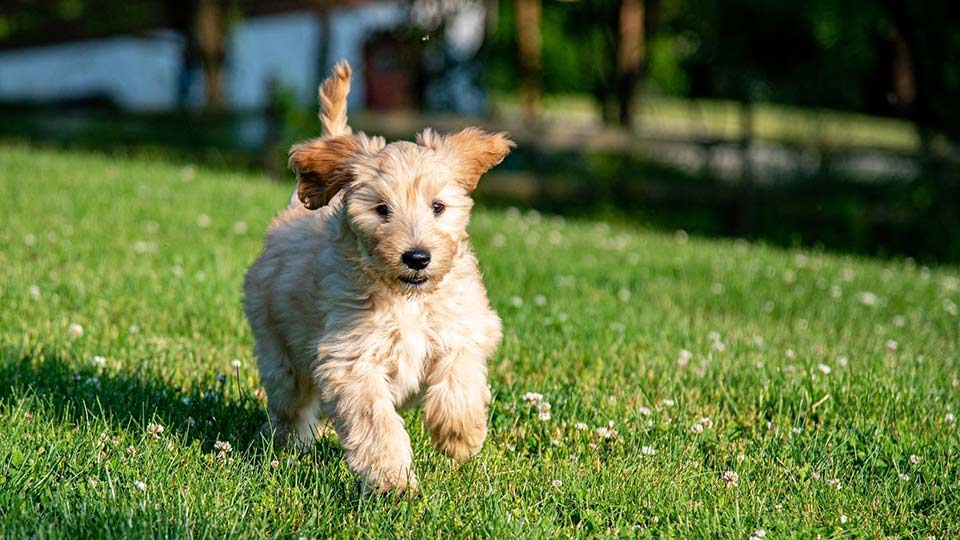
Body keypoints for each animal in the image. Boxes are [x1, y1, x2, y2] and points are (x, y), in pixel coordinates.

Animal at [242, 59, 510, 494]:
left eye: (438, 207)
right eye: (382, 209)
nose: (417, 257)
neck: (406, 299)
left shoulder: (463, 329)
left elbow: (460, 377)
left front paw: (459, 435)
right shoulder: (351, 360)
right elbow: (375, 422)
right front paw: (392, 477)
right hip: (278, 351)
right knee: (291, 400)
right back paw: (290, 444)